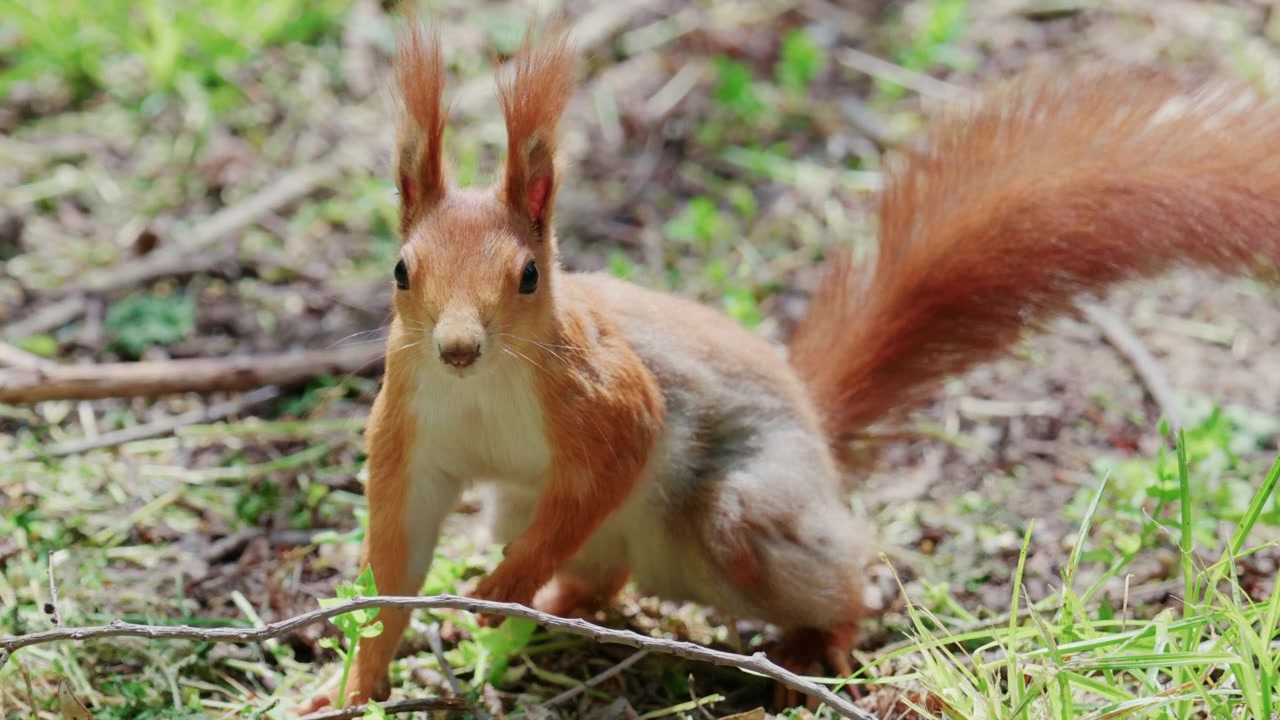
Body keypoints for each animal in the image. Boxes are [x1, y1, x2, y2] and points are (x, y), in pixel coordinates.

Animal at [300, 19, 1280, 713]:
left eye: (529, 276)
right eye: (401, 270)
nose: (459, 346)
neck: (485, 384)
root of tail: (814, 422)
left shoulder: (604, 395)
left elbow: (615, 457)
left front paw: (500, 588)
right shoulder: (413, 427)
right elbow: (396, 560)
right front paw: (352, 683)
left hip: (750, 509)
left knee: (829, 570)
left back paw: (818, 647)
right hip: (533, 507)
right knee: (601, 571)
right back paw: (563, 612)